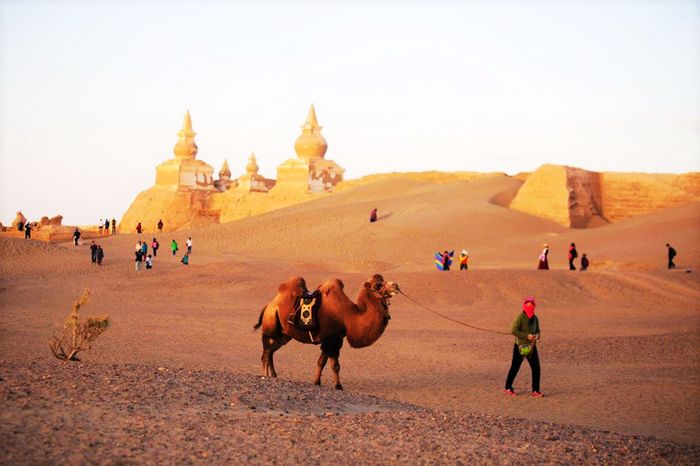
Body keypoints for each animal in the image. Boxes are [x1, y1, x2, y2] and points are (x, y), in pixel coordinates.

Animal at [256, 274, 400, 390]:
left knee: (271, 353)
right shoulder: (332, 339)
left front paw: (317, 382)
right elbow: (335, 365)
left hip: (284, 335)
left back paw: (274, 376)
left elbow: (321, 362)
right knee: (266, 354)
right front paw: (338, 386)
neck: (347, 315)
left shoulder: (332, 339)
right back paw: (265, 376)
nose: (395, 285)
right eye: (378, 285)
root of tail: (269, 305)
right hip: (270, 328)